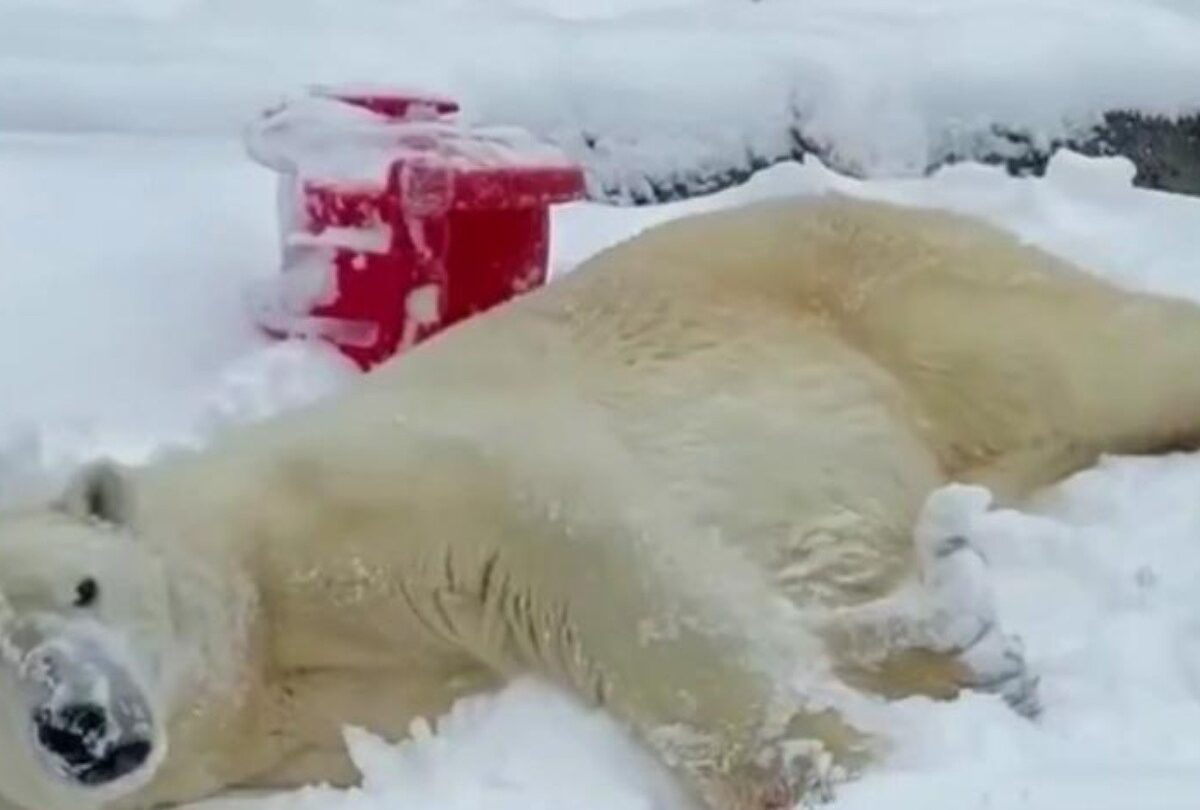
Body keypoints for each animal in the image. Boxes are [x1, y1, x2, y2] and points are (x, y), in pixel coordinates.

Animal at [2, 193, 1200, 810]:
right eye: (4, 662)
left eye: (87, 587)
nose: (78, 726)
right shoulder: (294, 731)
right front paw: (961, 659)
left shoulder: (361, 496)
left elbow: (583, 563)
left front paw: (847, 770)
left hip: (888, 288)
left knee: (1091, 352)